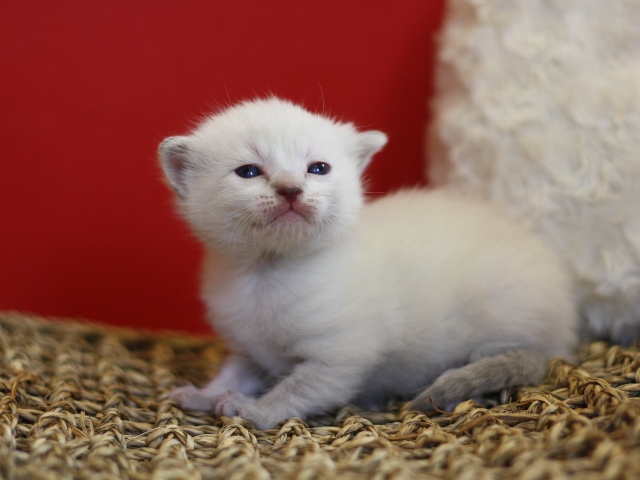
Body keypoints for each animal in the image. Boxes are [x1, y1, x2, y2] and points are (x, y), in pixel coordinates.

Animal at [159, 96, 576, 428]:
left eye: (318, 168)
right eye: (248, 172)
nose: (291, 190)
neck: (266, 273)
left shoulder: (341, 356)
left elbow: (296, 389)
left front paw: (255, 410)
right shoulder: (249, 349)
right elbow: (232, 373)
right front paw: (205, 394)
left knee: (529, 357)